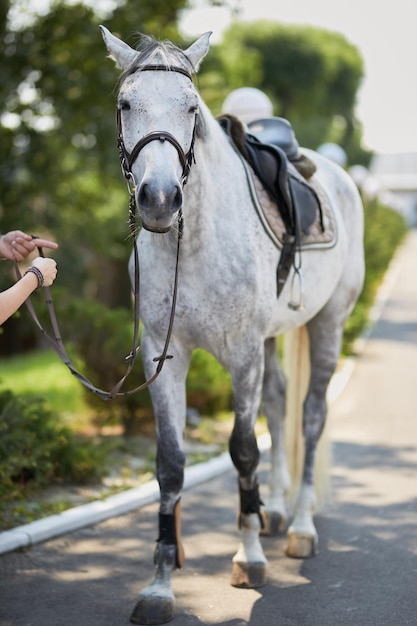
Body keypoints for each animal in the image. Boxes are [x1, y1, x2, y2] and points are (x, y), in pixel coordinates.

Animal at [100, 26, 360, 620]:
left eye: (191, 108)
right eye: (126, 104)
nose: (159, 199)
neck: (194, 240)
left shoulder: (241, 354)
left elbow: (244, 448)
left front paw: (249, 556)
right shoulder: (164, 357)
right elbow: (170, 464)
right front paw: (159, 586)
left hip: (328, 325)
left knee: (310, 416)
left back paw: (301, 526)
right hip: (271, 342)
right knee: (281, 403)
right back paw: (278, 511)